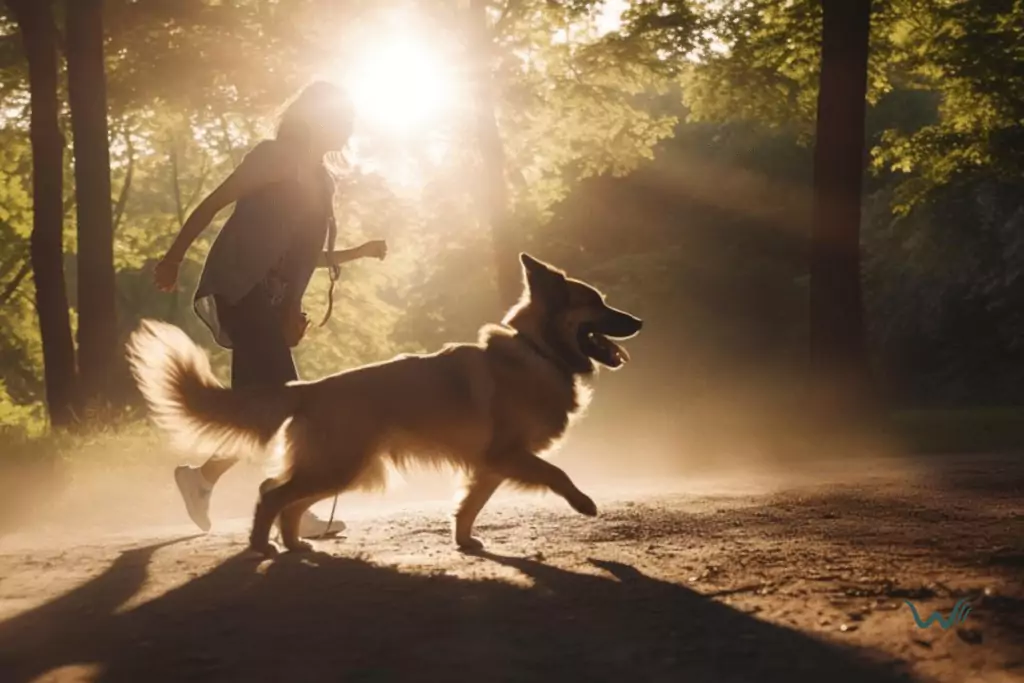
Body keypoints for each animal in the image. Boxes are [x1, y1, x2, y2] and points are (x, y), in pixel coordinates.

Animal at [128, 252, 638, 557]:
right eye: (596, 302)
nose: (639, 321)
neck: (539, 350)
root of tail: (309, 387)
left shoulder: (493, 464)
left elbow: (470, 504)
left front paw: (464, 540)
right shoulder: (509, 454)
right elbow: (557, 473)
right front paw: (583, 502)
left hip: (346, 469)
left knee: (282, 494)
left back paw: (295, 545)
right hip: (342, 466)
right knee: (272, 493)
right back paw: (262, 545)